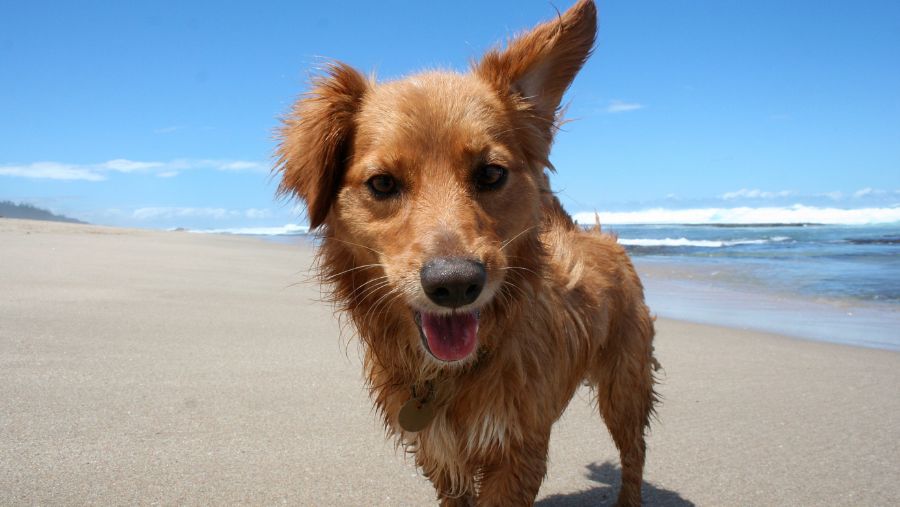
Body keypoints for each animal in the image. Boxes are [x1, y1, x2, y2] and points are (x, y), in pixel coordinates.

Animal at [276, 1, 660, 506]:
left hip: (625, 388)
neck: (449, 374)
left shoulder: (517, 450)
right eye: (382, 183)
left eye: (491, 173)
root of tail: (598, 238)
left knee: (634, 454)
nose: (455, 283)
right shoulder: (440, 454)